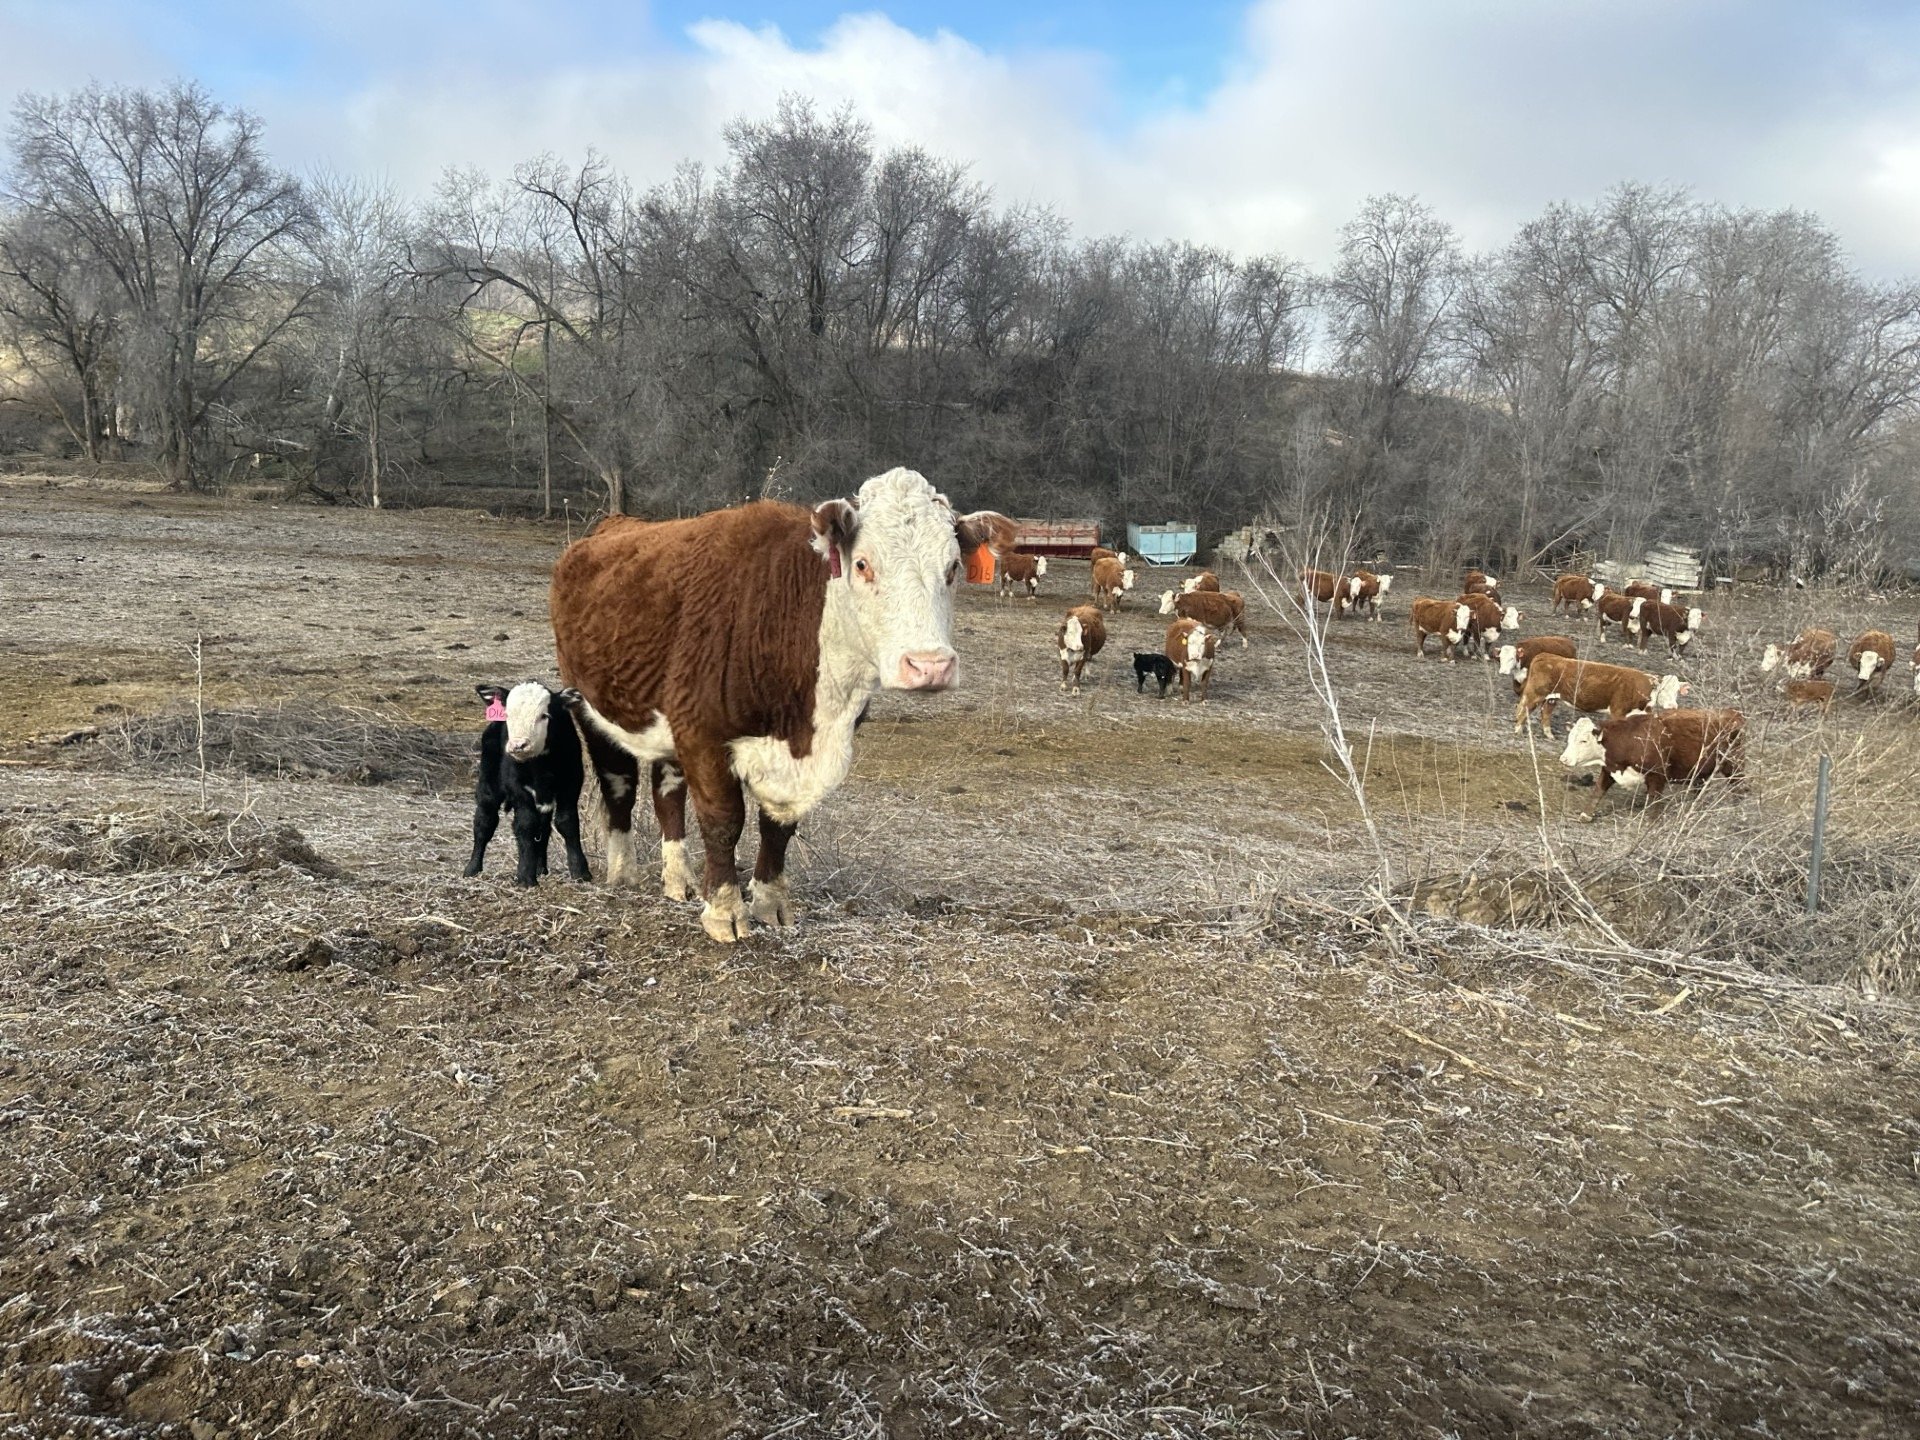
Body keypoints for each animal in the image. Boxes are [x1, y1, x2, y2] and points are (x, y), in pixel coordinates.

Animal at [464, 682, 591, 888]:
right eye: (508, 714)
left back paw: (541, 868)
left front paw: (580, 872)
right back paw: (472, 869)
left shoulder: (571, 783)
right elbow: (525, 824)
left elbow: (567, 822)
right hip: (488, 783)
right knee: (484, 821)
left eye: (544, 715)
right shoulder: (517, 788)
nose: (518, 745)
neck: (540, 766)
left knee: (543, 828)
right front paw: (525, 876)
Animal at [549, 467, 1010, 942]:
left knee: (667, 793)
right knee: (618, 784)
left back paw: (679, 880)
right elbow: (723, 820)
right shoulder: (702, 730)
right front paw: (725, 910)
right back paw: (623, 874)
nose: (930, 665)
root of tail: (617, 524)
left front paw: (770, 904)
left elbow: (778, 826)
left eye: (952, 567)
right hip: (592, 705)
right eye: (862, 564)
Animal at [1513, 654, 1687, 737]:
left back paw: (1549, 734)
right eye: (1663, 690)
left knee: (1546, 713)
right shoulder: (1618, 711)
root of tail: (1546, 655)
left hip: (1552, 698)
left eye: (1676, 691)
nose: (1673, 706)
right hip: (1535, 694)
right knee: (1524, 710)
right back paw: (1518, 731)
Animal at [1559, 708, 1745, 817]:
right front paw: (1586, 815)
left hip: (1733, 765)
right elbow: (1598, 791)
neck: (1628, 738)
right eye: (1570, 737)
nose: (1564, 759)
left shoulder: (1657, 775)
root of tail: (1733, 713)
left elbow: (1654, 802)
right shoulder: (1609, 769)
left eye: (1583, 740)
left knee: (1738, 785)